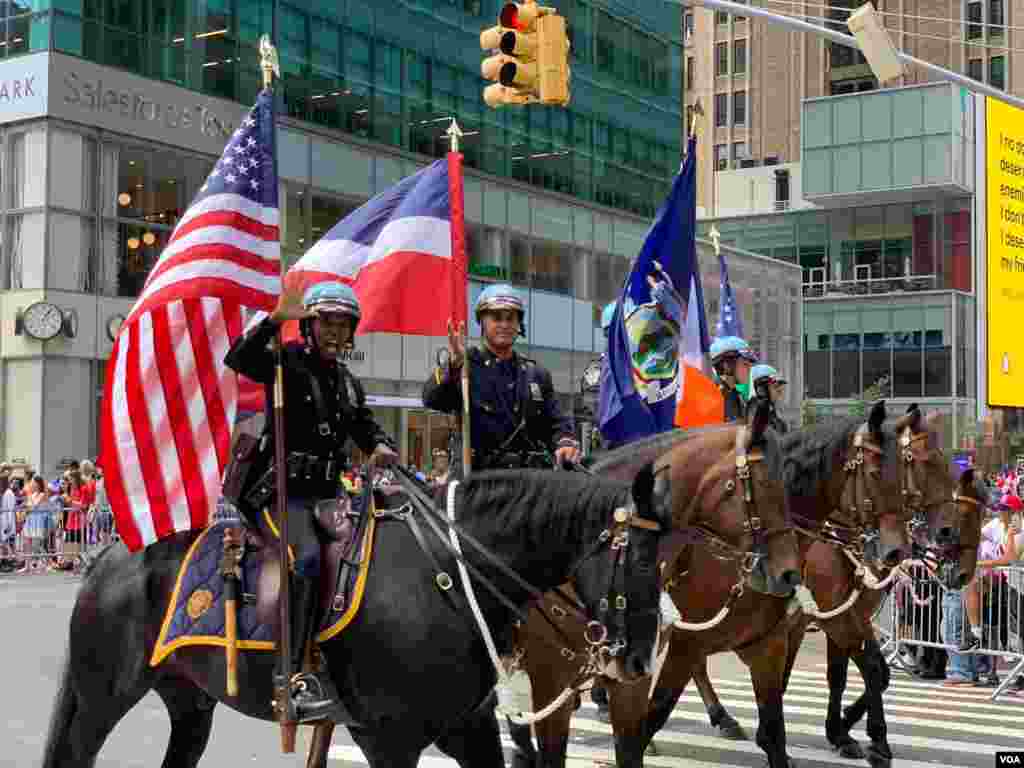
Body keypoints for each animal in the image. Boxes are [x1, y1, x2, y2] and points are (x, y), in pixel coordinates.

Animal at [41, 466, 671, 768]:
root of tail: (111, 552)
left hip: (190, 701)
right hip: (102, 699)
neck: (448, 571)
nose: (641, 660)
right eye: (641, 558)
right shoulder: (388, 738)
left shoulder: (467, 729)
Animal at [671, 405, 983, 768]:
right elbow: (866, 670)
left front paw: (841, 730)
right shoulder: (829, 619)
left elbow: (847, 674)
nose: (963, 574)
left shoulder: (838, 618)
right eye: (927, 461)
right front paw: (871, 740)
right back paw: (718, 716)